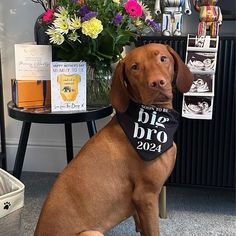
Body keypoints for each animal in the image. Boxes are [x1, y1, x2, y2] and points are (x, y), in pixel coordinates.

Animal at [34, 43, 193, 235]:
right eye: (135, 67)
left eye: (163, 58)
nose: (157, 83)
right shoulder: (146, 196)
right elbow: (153, 230)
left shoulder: (139, 204)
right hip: (92, 232)